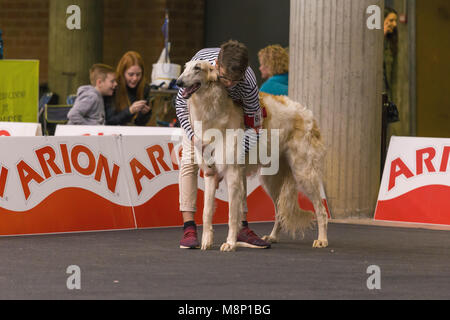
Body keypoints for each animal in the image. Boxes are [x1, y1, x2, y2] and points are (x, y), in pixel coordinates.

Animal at [176, 59, 326, 250]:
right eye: (185, 67)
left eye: (197, 68)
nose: (178, 82)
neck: (213, 111)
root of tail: (308, 114)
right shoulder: (210, 173)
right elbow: (206, 212)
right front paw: (206, 241)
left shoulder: (233, 173)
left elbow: (233, 214)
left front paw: (230, 243)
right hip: (271, 180)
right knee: (279, 212)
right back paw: (272, 237)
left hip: (304, 173)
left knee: (321, 210)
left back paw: (322, 240)